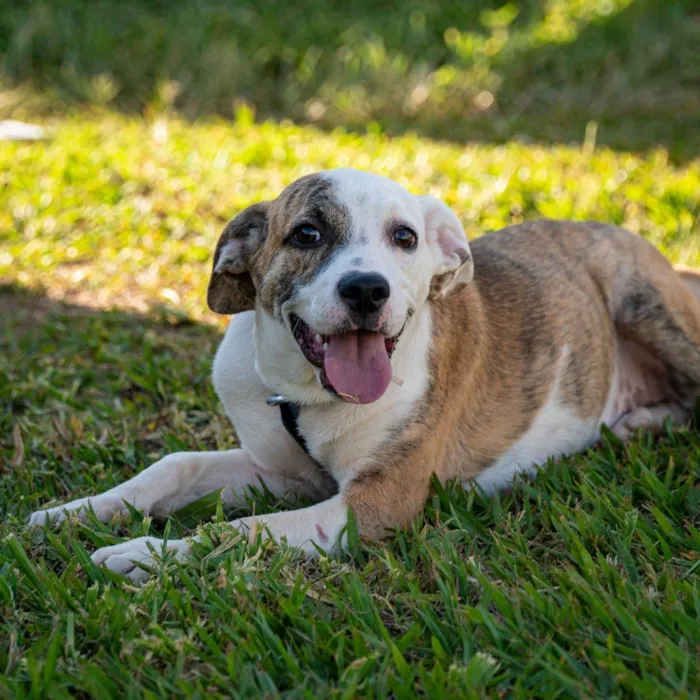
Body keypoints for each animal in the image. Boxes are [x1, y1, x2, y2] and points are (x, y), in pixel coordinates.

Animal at [28, 168, 700, 580]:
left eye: (405, 238)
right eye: (306, 233)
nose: (366, 290)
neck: (303, 395)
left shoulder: (371, 504)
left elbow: (244, 532)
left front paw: (144, 555)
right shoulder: (282, 474)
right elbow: (174, 466)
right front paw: (75, 513)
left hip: (643, 303)